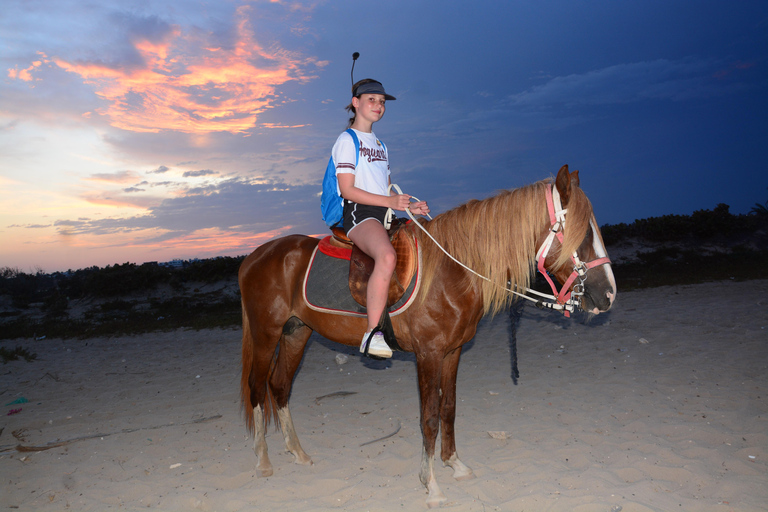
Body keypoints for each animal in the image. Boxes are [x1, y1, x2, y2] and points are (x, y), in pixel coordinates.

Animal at [237, 165, 616, 508]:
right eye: (582, 235)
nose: (609, 295)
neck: (453, 270)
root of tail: (253, 258)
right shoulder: (428, 354)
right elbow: (429, 417)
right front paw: (431, 484)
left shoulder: (452, 352)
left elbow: (449, 408)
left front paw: (454, 464)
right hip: (266, 333)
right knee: (257, 388)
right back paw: (263, 460)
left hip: (296, 332)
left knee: (279, 386)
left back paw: (298, 453)